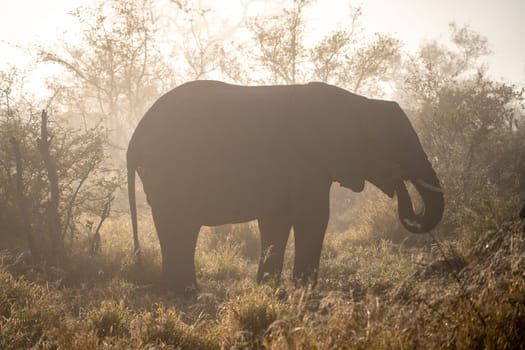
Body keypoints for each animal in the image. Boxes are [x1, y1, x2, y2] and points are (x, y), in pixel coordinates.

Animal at [127, 80, 442, 296]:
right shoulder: (309, 163)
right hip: (169, 172)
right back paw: (186, 292)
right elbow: (314, 217)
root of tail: (135, 137)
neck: (359, 104)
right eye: (398, 147)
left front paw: (269, 289)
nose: (399, 183)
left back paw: (179, 291)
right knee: (180, 227)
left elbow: (275, 222)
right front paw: (304, 290)